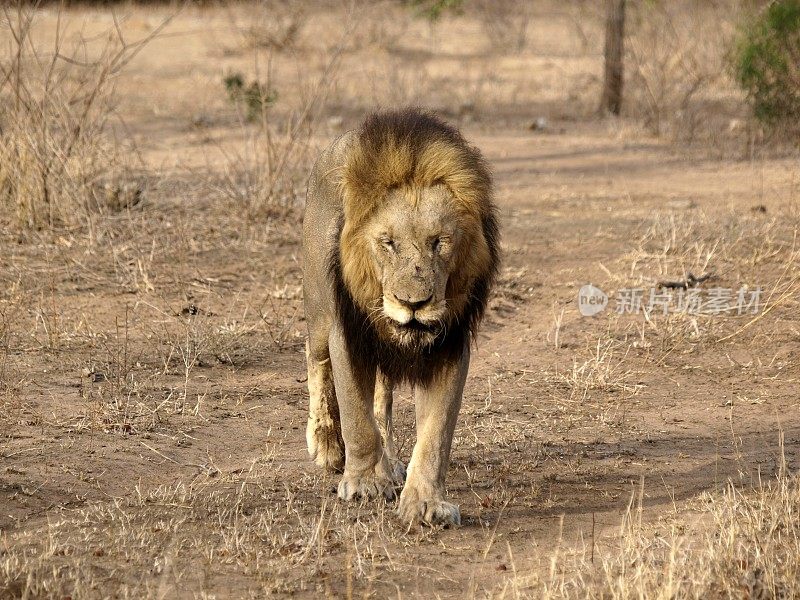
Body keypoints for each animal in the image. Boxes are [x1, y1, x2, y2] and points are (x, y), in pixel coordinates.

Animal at [302, 108, 496, 524]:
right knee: (316, 361)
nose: (414, 304)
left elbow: (436, 434)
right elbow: (357, 418)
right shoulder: (348, 333)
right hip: (318, 311)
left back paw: (389, 464)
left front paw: (426, 502)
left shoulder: (449, 346)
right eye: (387, 243)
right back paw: (327, 446)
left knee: (382, 398)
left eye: (440, 242)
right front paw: (363, 484)